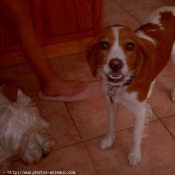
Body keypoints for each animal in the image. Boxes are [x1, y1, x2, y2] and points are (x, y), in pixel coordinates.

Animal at [87, 5, 175, 165]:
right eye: (104, 44)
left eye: (130, 46)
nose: (115, 65)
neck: (122, 85)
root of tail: (170, 8)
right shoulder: (112, 103)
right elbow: (111, 124)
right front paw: (109, 140)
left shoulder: (140, 112)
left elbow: (135, 136)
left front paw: (134, 154)